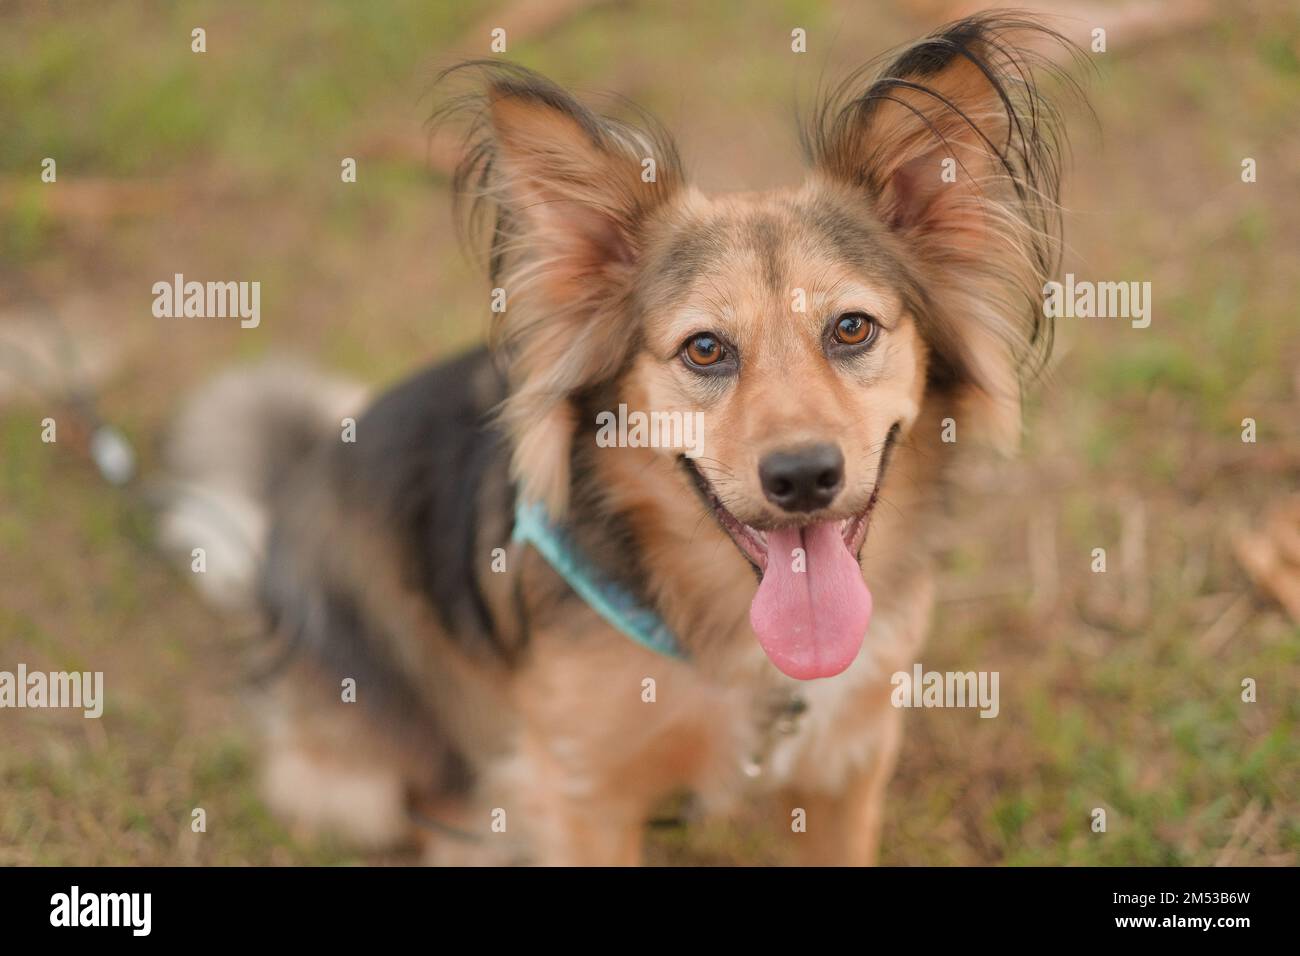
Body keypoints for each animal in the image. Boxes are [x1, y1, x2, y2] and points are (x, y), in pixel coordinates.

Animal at [162, 13, 1076, 868]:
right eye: (704, 349)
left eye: (852, 329)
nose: (805, 477)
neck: (737, 641)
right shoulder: (583, 794)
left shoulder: (848, 762)